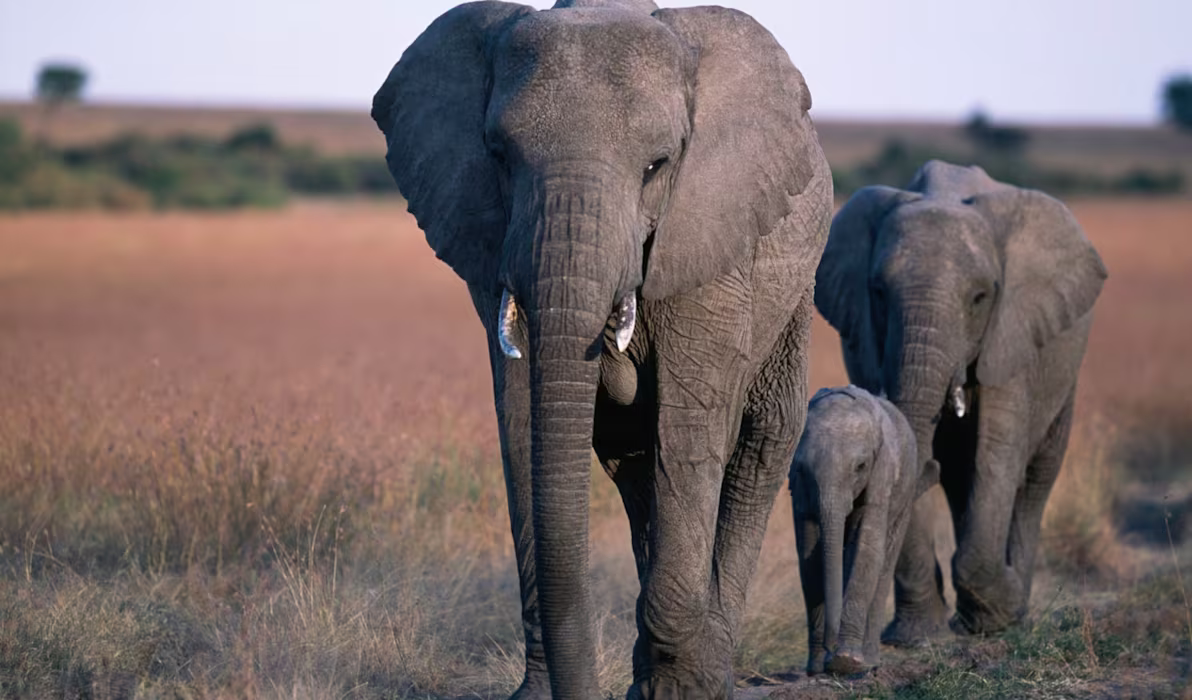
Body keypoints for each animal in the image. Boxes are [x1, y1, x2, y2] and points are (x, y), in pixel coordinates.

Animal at [371, 1, 832, 697]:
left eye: (657, 166)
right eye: (499, 156)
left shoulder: (710, 236)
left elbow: (689, 431)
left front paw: (686, 683)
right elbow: (523, 430)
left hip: (794, 282)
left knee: (761, 437)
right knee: (632, 462)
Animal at [791, 386, 937, 676]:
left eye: (860, 467)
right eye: (802, 469)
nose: (830, 649)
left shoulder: (882, 475)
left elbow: (866, 549)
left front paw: (846, 661)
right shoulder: (800, 489)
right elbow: (809, 556)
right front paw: (817, 667)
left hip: (905, 493)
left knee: (883, 565)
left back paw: (868, 661)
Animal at [815, 160, 1107, 644]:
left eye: (980, 297)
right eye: (877, 292)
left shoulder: (1012, 331)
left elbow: (997, 454)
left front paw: (999, 614)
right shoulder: (866, 341)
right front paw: (918, 638)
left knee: (1035, 477)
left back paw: (1013, 608)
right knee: (958, 479)